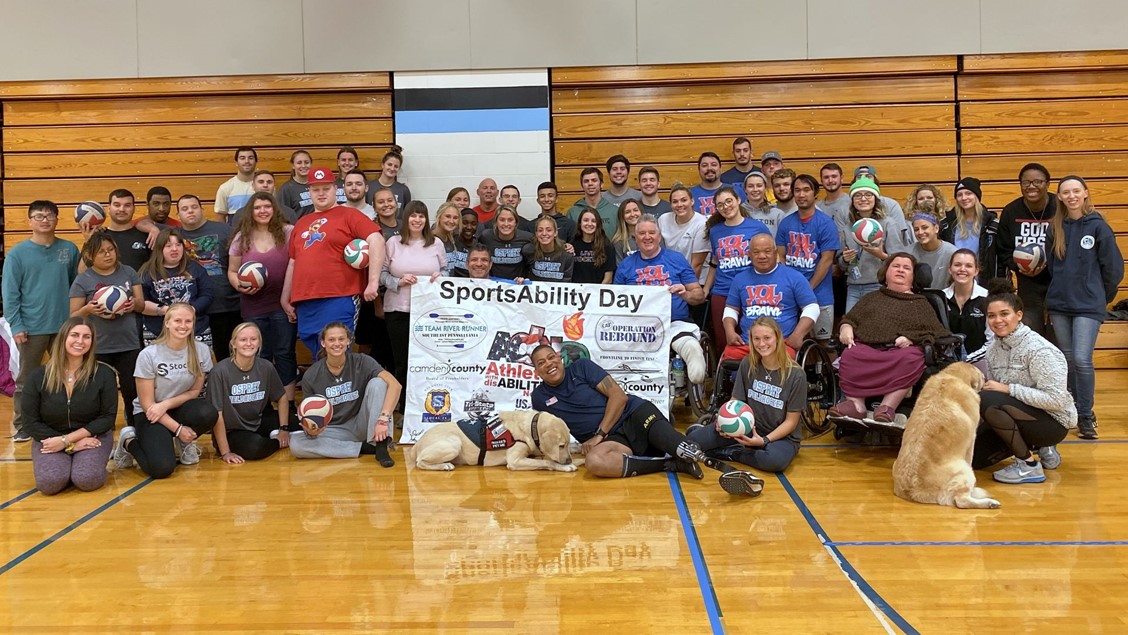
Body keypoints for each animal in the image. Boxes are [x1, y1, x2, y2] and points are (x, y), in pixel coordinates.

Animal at [415, 412, 577, 471]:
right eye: (561, 445)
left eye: (566, 444)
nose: (569, 460)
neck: (531, 426)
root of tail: (416, 443)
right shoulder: (515, 461)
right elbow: (547, 462)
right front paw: (564, 467)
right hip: (454, 444)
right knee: (419, 462)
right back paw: (444, 465)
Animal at [893, 365, 1001, 509]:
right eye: (983, 377)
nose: (987, 379)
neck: (953, 376)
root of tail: (913, 492)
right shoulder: (972, 439)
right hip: (964, 470)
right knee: (961, 501)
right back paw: (989, 503)